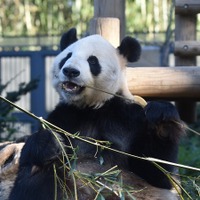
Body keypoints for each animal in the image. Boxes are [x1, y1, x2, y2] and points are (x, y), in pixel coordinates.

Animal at [9, 28, 184, 200]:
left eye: (92, 61)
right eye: (67, 56)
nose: (70, 71)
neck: (91, 107)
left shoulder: (128, 117)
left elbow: (155, 172)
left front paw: (162, 118)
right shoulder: (64, 116)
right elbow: (31, 155)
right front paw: (48, 142)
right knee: (37, 177)